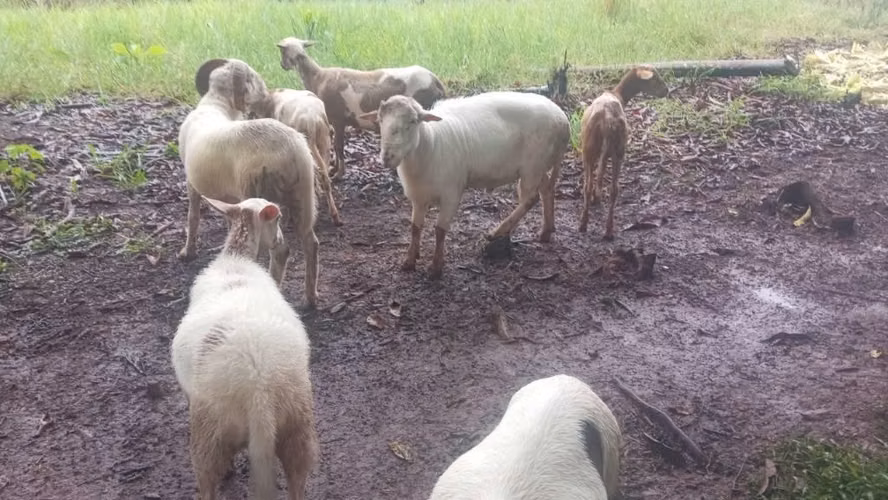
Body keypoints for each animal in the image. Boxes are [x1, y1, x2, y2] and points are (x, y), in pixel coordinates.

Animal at [171, 196, 319, 500]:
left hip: (209, 436)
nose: (281, 242)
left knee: (208, 484)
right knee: (298, 481)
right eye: (278, 219)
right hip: (298, 427)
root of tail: (258, 395)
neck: (236, 258)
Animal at [177, 57, 320, 308]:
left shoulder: (192, 182)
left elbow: (192, 217)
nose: (268, 94)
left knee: (281, 250)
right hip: (303, 195)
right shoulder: (229, 196)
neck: (217, 105)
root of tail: (292, 150)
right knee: (310, 242)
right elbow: (228, 218)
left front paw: (188, 251)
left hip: (262, 195)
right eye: (253, 78)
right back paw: (310, 297)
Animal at [277, 37, 447, 180]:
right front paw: (334, 169)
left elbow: (338, 146)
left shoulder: (338, 119)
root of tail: (436, 81)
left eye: (282, 51)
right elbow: (336, 146)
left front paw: (339, 173)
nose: (282, 66)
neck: (318, 77)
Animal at [358, 92, 569, 279]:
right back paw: (546, 231)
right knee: (546, 190)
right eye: (380, 120)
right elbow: (415, 228)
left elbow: (439, 231)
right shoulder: (418, 197)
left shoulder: (451, 194)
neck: (430, 144)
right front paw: (410, 260)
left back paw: (498, 231)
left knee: (530, 199)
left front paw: (436, 267)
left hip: (532, 166)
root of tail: (563, 119)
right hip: (538, 166)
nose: (387, 157)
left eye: (412, 121)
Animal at [578, 65, 669, 239]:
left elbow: (599, 174)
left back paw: (588, 226)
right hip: (616, 148)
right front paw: (597, 198)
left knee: (592, 186)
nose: (666, 91)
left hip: (591, 147)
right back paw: (604, 229)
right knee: (611, 188)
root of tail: (609, 121)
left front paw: (596, 198)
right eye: (655, 79)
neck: (618, 94)